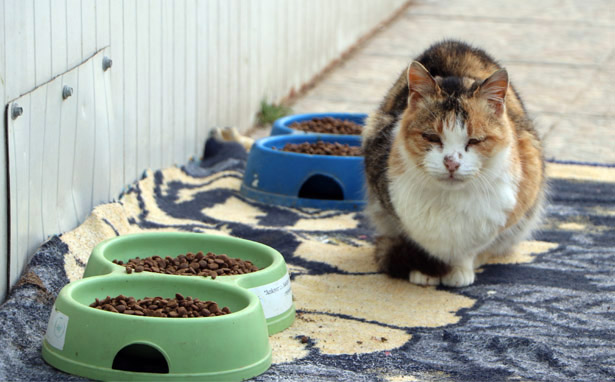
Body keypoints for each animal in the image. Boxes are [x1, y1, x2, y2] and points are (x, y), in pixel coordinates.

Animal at [364, 41, 548, 286]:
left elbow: (470, 249)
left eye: (475, 140)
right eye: (431, 137)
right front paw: (425, 271)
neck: (449, 201)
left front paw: (460, 271)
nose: (451, 163)